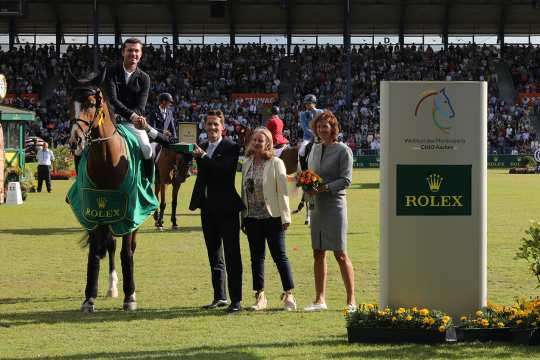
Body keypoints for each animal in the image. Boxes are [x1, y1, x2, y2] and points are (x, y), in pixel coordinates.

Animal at [67, 71, 149, 312]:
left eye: (91, 103)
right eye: (70, 103)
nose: (75, 141)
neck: (107, 161)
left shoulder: (130, 213)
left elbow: (126, 253)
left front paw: (130, 297)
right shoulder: (94, 212)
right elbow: (95, 253)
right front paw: (89, 298)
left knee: (129, 247)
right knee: (110, 245)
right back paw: (112, 287)